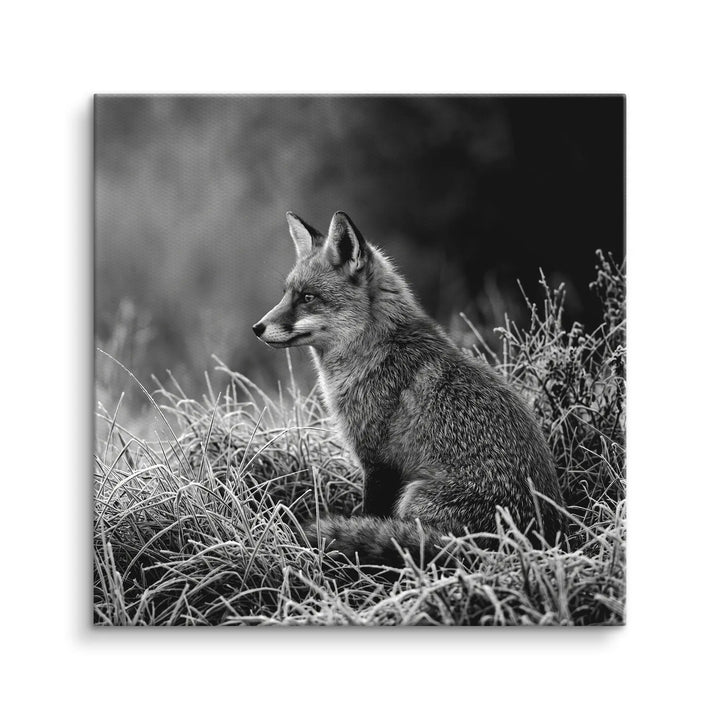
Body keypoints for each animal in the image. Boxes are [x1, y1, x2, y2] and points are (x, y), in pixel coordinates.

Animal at [252, 210, 564, 566]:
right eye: (286, 294)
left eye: (307, 297)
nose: (257, 327)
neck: (375, 352)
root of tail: (531, 542)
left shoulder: (378, 463)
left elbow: (369, 514)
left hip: (413, 497)